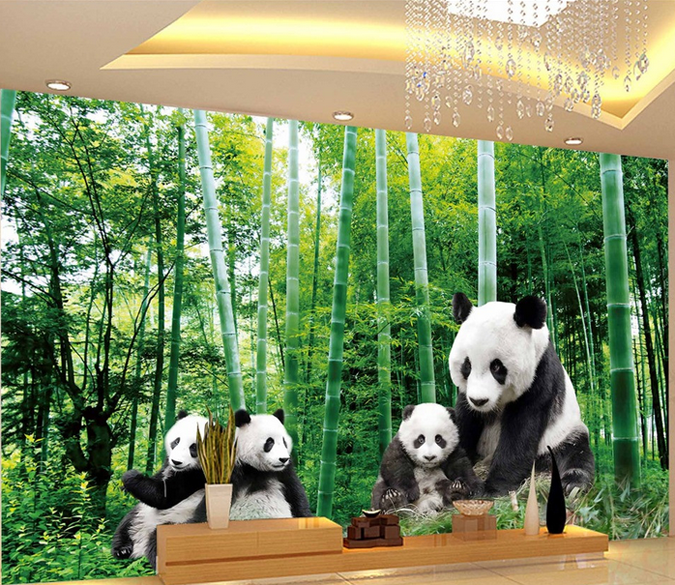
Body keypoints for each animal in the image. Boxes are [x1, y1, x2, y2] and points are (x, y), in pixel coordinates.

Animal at [111, 411, 208, 569]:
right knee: (126, 523)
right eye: (176, 441)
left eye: (194, 447)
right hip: (141, 513)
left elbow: (163, 496)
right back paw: (122, 549)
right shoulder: (165, 466)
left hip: (180, 522)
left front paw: (129, 475)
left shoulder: (198, 475)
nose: (176, 462)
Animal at [449, 293, 595, 497]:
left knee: (576, 452)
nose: (479, 400)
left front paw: (494, 488)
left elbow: (522, 429)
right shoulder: (466, 393)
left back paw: (572, 484)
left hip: (562, 434)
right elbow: (465, 419)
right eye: (467, 365)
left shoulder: (540, 374)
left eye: (496, 366)